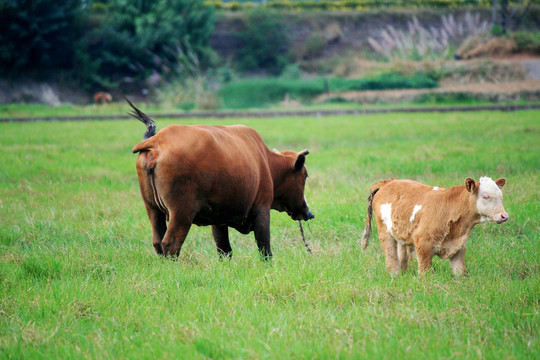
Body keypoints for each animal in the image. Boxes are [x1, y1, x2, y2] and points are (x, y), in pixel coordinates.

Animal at [129, 98, 314, 258]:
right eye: (305, 175)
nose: (308, 212)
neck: (266, 161)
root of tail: (157, 141)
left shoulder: (218, 218)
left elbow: (224, 250)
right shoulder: (261, 209)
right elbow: (265, 249)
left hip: (153, 209)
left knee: (158, 242)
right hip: (181, 213)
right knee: (171, 244)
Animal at [360, 177, 508, 276]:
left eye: (501, 197)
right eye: (485, 196)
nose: (504, 215)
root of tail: (388, 181)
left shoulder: (459, 247)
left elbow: (460, 272)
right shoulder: (423, 244)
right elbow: (425, 273)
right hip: (384, 233)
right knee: (391, 257)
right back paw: (394, 275)